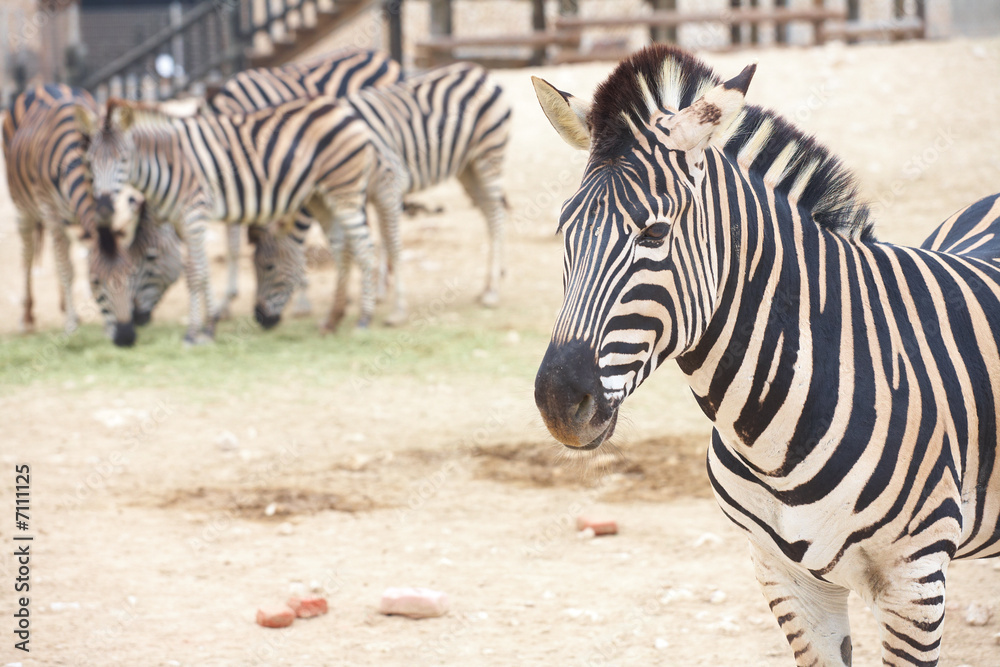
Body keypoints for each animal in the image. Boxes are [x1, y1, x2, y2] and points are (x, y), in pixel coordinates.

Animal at [3, 84, 180, 348]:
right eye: (96, 282)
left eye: (132, 274)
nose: (126, 337)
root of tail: (42, 86)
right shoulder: (51, 211)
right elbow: (66, 268)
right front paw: (71, 327)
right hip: (24, 207)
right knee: (28, 254)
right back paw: (27, 317)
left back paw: (65, 306)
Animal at [76, 95, 376, 344]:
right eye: (90, 161)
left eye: (123, 159)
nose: (104, 208)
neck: (166, 164)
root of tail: (342, 108)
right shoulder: (184, 222)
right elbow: (205, 272)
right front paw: (209, 328)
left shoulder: (193, 214)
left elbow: (195, 275)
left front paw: (192, 333)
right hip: (319, 196)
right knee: (341, 247)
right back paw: (332, 321)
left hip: (344, 191)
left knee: (365, 249)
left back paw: (364, 319)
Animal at [250, 62, 516, 328]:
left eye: (269, 267)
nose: (260, 318)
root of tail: (479, 70)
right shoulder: (359, 196)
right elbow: (361, 243)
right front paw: (364, 297)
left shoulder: (385, 185)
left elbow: (386, 242)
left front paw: (390, 309)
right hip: (466, 167)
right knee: (488, 213)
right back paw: (490, 282)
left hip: (489, 154)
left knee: (496, 214)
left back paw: (492, 292)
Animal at [532, 44, 1000, 664]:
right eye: (564, 231)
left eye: (654, 235)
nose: (559, 402)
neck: (771, 435)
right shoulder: (784, 575)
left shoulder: (914, 581)